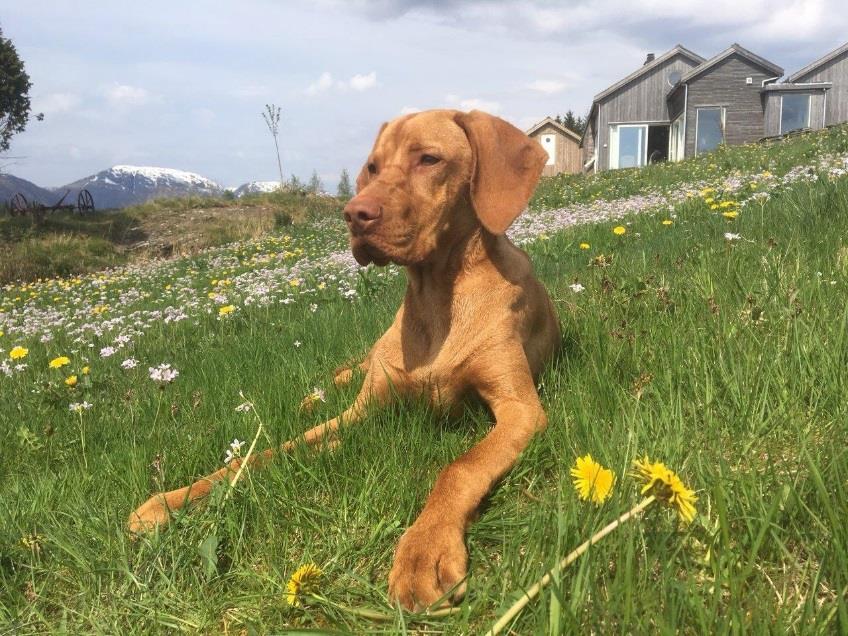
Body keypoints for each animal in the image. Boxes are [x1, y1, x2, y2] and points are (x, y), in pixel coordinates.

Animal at [129, 109, 560, 612]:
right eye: (373, 167)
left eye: (429, 159)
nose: (355, 214)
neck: (438, 297)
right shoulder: (363, 408)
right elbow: (269, 451)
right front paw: (171, 500)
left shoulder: (520, 410)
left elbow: (461, 467)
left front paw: (424, 549)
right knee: (348, 370)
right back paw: (312, 398)